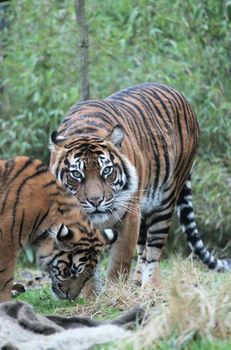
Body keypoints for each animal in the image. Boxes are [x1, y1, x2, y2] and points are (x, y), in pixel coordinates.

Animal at [49, 81, 231, 290]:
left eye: (107, 171)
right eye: (76, 174)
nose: (96, 202)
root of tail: (179, 94)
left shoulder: (129, 215)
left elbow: (119, 261)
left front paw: (114, 291)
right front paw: (91, 293)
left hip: (164, 201)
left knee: (153, 251)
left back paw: (150, 287)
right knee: (143, 249)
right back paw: (136, 282)